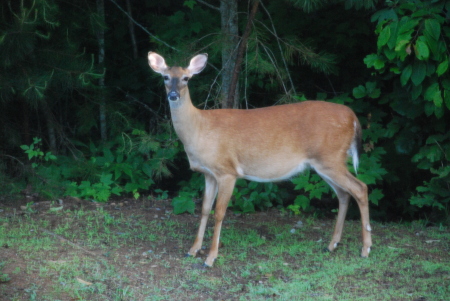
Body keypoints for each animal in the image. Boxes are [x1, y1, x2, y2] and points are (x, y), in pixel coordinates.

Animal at [148, 51, 372, 268]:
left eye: (186, 78)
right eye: (165, 77)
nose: (173, 95)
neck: (199, 129)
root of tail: (353, 118)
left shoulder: (227, 171)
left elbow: (219, 213)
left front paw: (210, 258)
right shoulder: (208, 173)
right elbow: (203, 209)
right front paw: (193, 250)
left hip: (330, 158)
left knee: (360, 188)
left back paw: (365, 249)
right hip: (324, 163)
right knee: (344, 194)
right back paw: (332, 245)